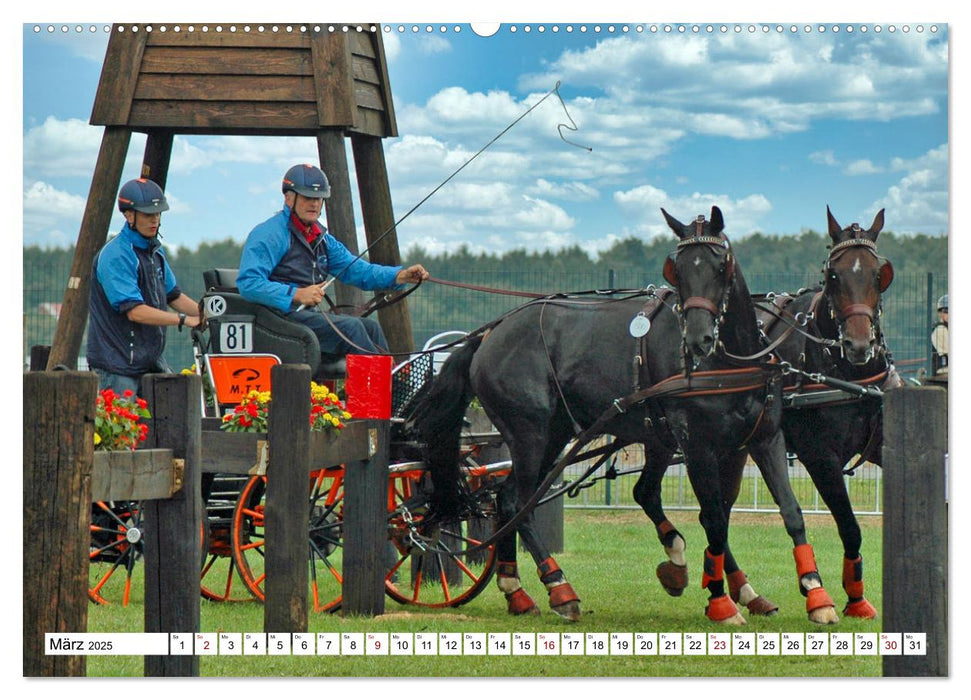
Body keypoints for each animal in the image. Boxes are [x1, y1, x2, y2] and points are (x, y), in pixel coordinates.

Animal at [414, 206, 840, 624]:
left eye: (721, 266)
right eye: (677, 269)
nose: (697, 339)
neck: (727, 361)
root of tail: (489, 334)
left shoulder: (762, 438)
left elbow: (790, 511)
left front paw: (816, 594)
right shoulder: (698, 445)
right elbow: (715, 518)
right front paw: (721, 602)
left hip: (556, 434)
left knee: (507, 501)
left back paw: (516, 591)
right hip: (529, 434)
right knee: (518, 503)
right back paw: (558, 587)